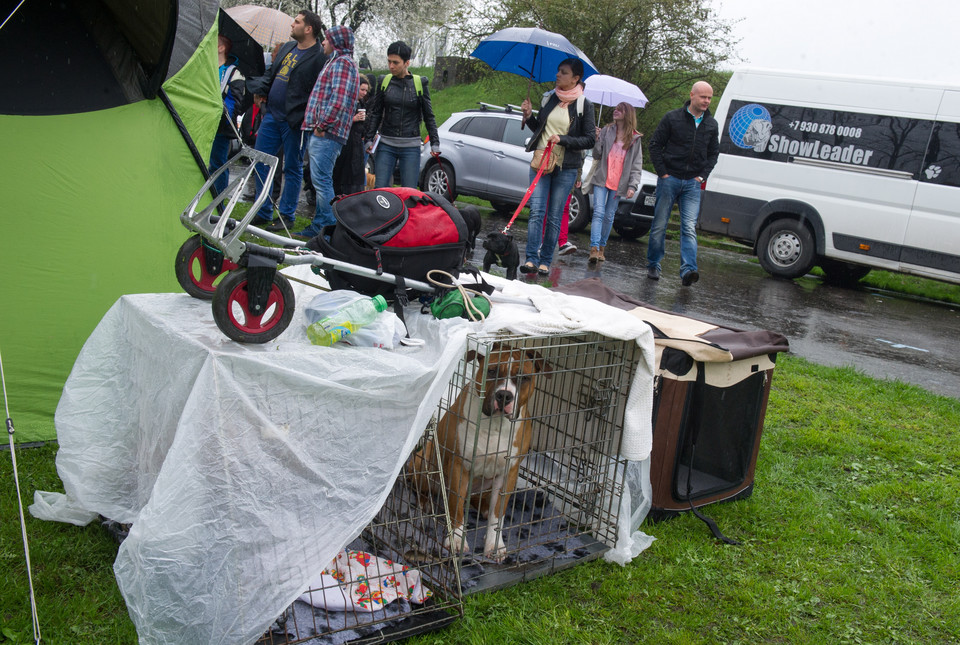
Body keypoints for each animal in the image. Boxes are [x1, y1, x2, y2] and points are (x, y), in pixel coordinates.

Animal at [408, 342, 552, 560]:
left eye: (523, 377)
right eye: (491, 371)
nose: (504, 395)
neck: (495, 425)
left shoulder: (508, 474)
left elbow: (498, 513)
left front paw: (495, 544)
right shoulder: (459, 467)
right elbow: (456, 507)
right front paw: (456, 540)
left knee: (481, 500)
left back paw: (483, 507)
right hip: (423, 460)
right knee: (425, 488)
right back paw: (425, 503)